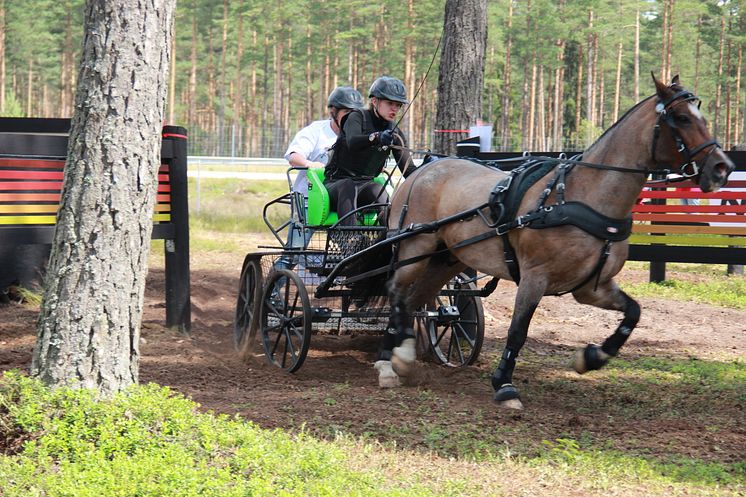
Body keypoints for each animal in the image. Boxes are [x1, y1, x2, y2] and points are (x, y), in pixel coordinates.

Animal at [366, 73, 732, 406]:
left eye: (702, 116)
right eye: (682, 118)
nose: (722, 168)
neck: (582, 197)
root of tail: (420, 171)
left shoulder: (592, 287)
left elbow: (633, 313)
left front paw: (592, 357)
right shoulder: (534, 277)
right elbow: (518, 330)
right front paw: (504, 384)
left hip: (447, 258)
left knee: (415, 299)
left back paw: (401, 355)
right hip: (415, 247)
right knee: (397, 293)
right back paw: (387, 363)